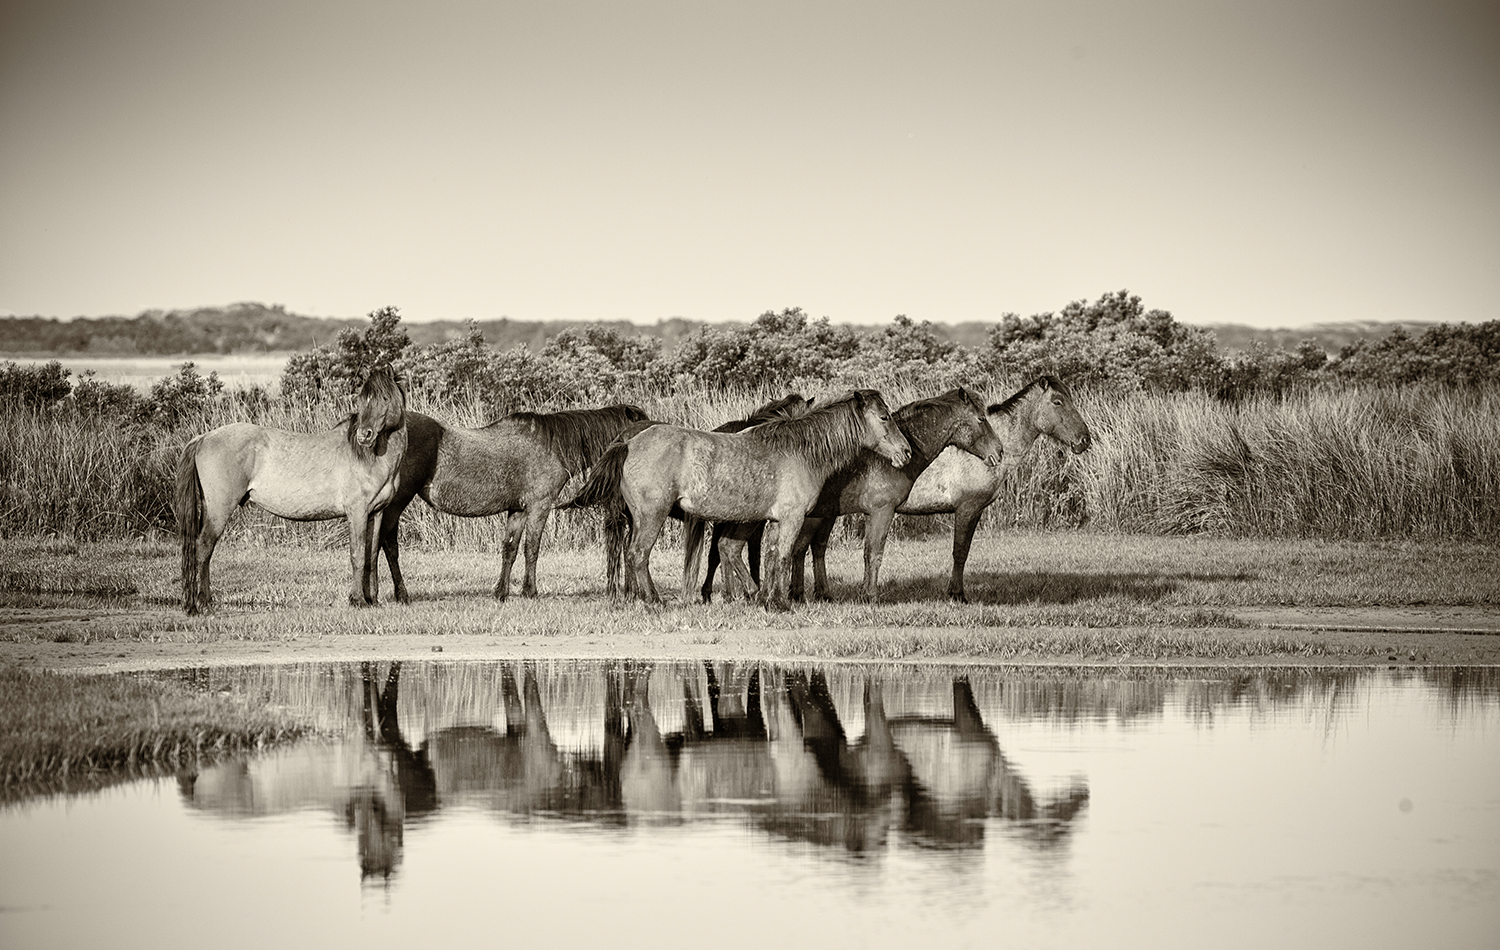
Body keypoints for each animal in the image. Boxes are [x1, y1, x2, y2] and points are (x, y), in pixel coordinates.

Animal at [176, 363, 408, 615]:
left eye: (385, 398)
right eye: (362, 399)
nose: (364, 435)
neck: (370, 458)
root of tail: (204, 437)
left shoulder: (376, 513)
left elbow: (371, 556)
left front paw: (371, 599)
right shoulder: (357, 512)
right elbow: (357, 555)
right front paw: (357, 600)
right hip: (219, 509)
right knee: (204, 547)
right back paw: (204, 604)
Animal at [375, 402, 645, 600]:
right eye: (642, 425)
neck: (552, 445)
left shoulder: (518, 510)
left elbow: (510, 549)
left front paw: (501, 592)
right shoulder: (539, 507)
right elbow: (531, 548)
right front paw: (530, 591)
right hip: (397, 503)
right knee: (387, 544)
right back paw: (396, 594)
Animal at [567, 390, 912, 606]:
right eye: (884, 417)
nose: (906, 452)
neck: (800, 450)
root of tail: (629, 442)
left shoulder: (765, 521)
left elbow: (765, 557)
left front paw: (764, 597)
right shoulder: (791, 518)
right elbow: (781, 556)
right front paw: (778, 602)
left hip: (640, 518)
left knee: (630, 555)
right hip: (652, 515)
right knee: (638, 554)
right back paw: (653, 602)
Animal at [693, 384, 1002, 600]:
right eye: (980, 419)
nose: (999, 451)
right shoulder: (881, 511)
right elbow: (873, 552)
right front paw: (870, 596)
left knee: (727, 549)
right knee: (728, 549)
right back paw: (748, 594)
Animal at [894, 372, 1098, 600]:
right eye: (1057, 402)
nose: (1084, 440)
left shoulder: (976, 511)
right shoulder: (967, 509)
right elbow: (960, 552)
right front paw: (957, 594)